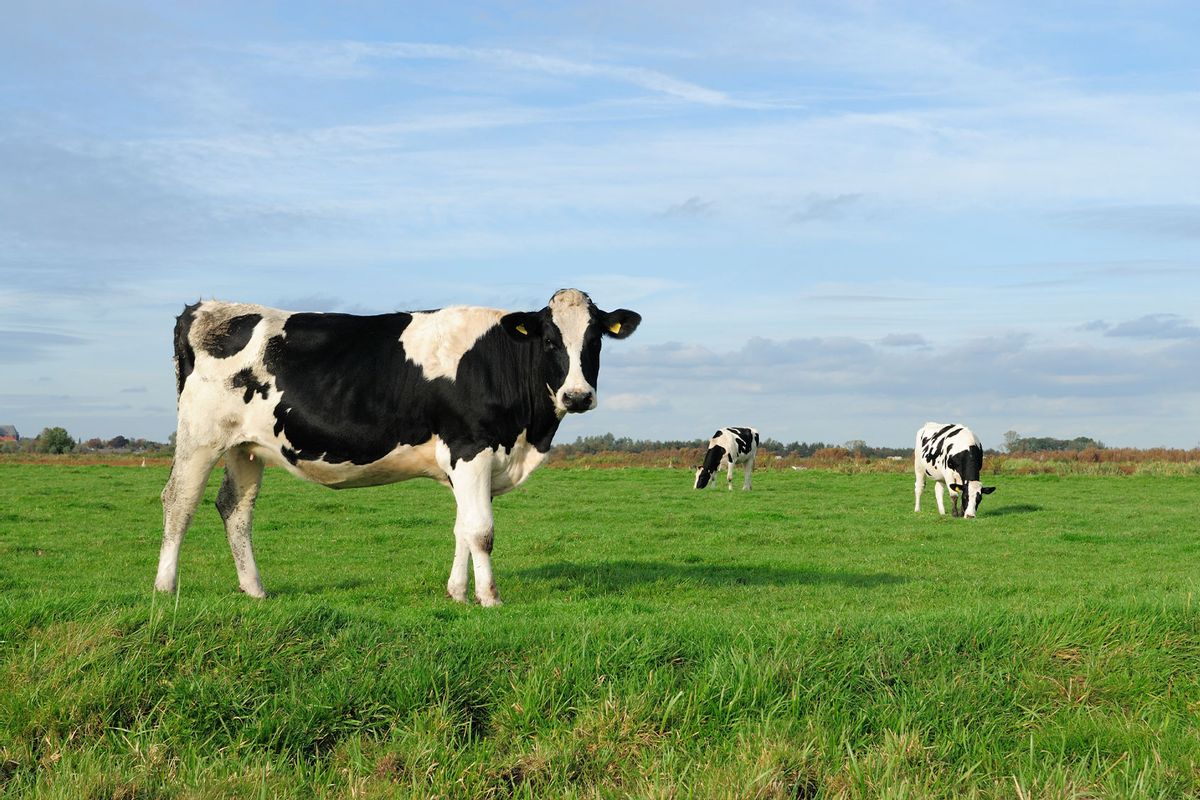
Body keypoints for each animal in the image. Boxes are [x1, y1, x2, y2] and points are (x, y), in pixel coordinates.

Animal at [156, 289, 643, 606]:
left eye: (595, 340)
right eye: (549, 340)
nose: (577, 396)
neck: (526, 436)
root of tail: (205, 308)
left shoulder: (463, 463)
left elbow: (461, 528)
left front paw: (457, 593)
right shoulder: (471, 448)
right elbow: (481, 531)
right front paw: (489, 598)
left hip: (245, 446)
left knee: (235, 508)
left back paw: (255, 590)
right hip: (200, 436)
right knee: (179, 502)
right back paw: (166, 587)